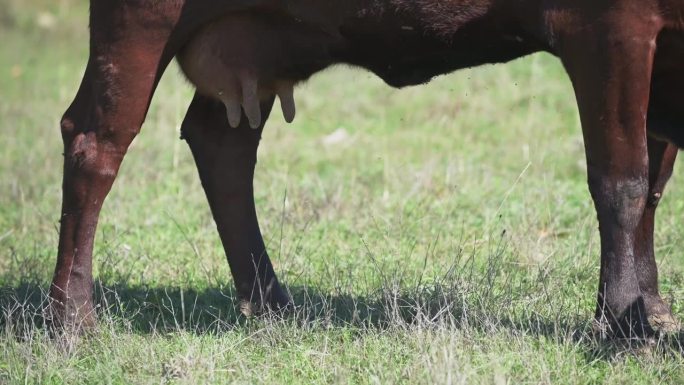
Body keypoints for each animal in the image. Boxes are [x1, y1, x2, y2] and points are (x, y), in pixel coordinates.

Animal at [52, 0, 684, 336]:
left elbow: (653, 184)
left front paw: (646, 308)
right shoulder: (610, 27)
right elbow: (621, 180)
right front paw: (624, 319)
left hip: (253, 46)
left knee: (221, 142)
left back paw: (272, 303)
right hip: (138, 25)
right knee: (94, 143)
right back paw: (72, 321)